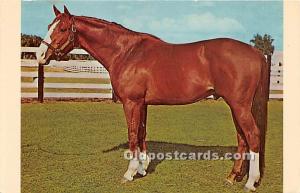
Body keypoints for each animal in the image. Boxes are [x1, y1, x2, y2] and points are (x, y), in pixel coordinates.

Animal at [37, 6, 270, 191]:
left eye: (62, 29)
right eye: (49, 25)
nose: (40, 55)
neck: (127, 52)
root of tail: (257, 52)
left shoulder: (131, 102)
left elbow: (132, 134)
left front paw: (129, 173)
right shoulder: (142, 103)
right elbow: (141, 133)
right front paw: (142, 168)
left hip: (239, 106)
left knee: (253, 136)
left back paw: (250, 182)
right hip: (236, 106)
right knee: (242, 138)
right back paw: (232, 176)